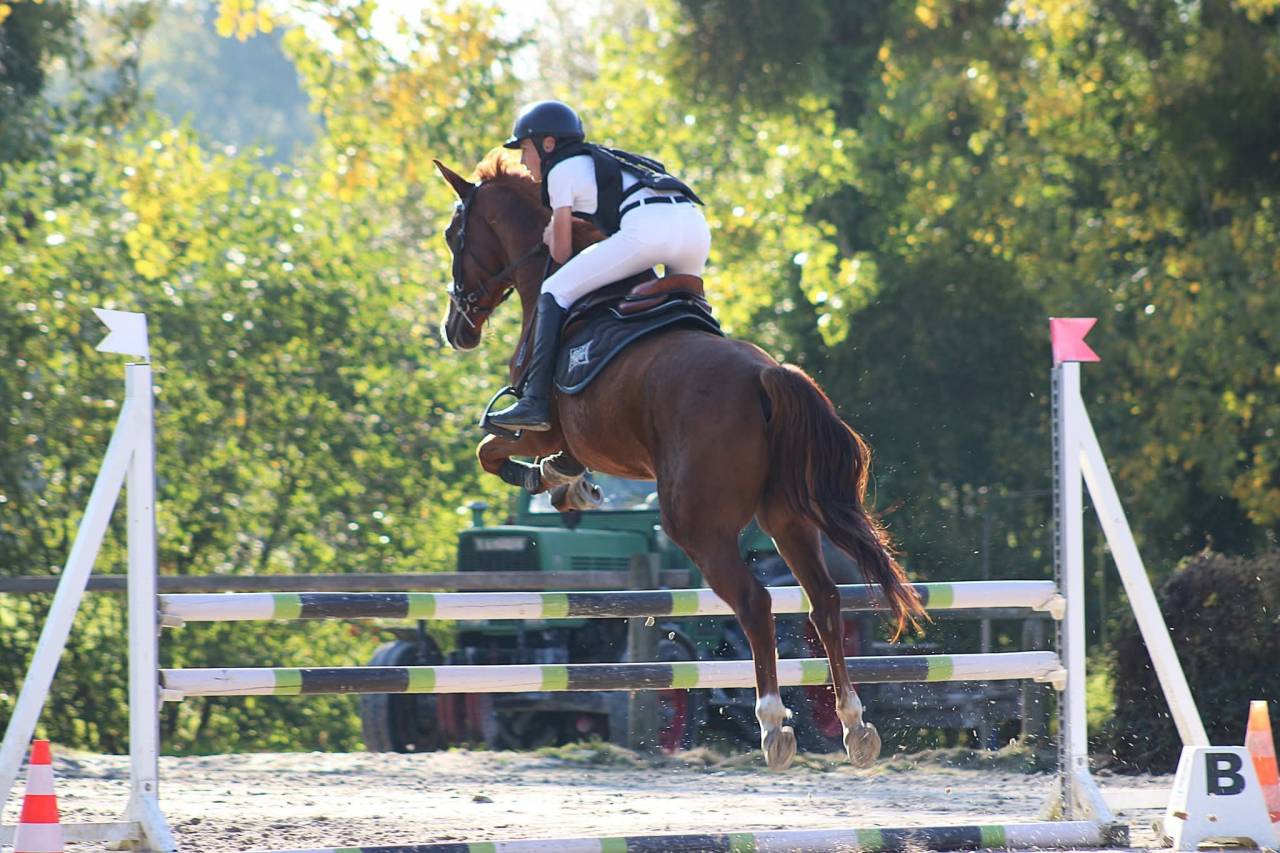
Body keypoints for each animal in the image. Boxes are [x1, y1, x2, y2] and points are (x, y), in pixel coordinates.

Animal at [433, 152, 925, 770]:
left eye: (454, 235)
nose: (456, 329)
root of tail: (766, 375)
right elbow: (540, 461)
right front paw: (569, 485)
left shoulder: (539, 426)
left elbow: (492, 449)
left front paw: (548, 480)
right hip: (785, 517)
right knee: (825, 602)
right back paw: (855, 725)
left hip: (697, 525)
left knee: (756, 603)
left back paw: (774, 726)